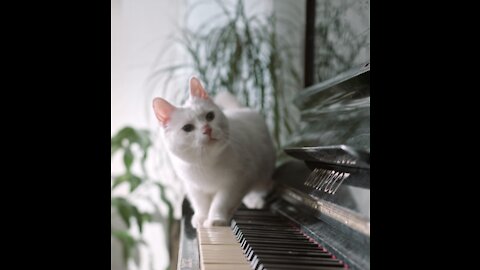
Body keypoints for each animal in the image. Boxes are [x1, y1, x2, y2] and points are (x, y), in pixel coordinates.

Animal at [152, 76, 276, 228]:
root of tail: (242, 109)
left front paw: (216, 220)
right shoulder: (193, 187)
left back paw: (256, 200)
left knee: (264, 186)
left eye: (210, 116)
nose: (207, 129)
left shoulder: (235, 182)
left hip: (262, 173)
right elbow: (201, 204)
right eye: (187, 128)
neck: (207, 162)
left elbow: (221, 202)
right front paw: (201, 218)